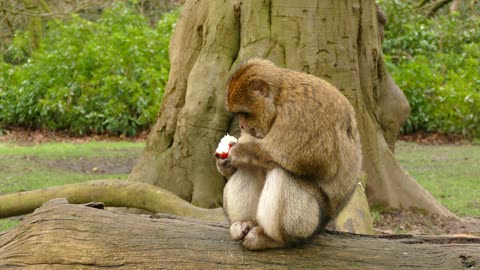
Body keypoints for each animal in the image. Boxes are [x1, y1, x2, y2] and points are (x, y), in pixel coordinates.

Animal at [216, 58, 362, 250]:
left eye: (244, 113)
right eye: (239, 114)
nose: (241, 125)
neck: (279, 99)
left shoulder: (300, 112)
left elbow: (308, 160)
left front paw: (239, 152)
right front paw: (225, 164)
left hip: (311, 223)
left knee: (283, 174)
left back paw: (274, 239)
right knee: (249, 168)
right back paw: (244, 223)